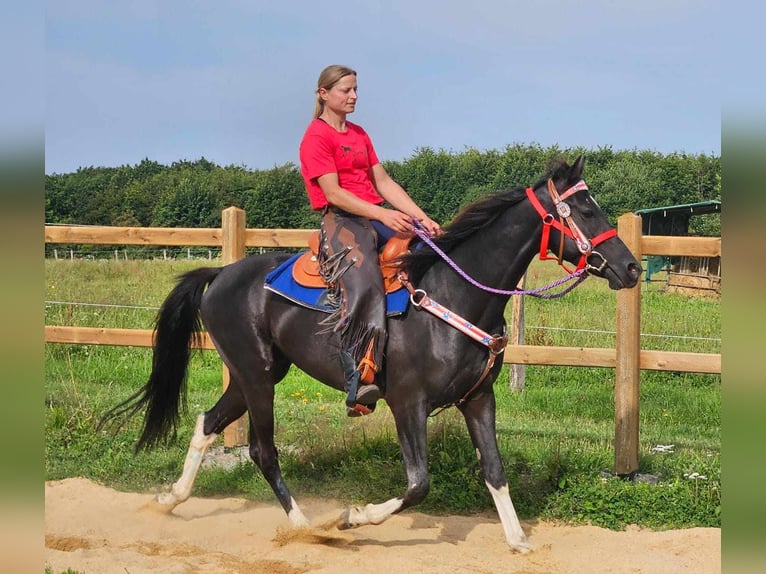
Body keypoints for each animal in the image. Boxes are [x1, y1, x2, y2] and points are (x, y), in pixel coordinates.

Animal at [102, 156, 640, 552]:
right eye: (585, 210)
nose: (632, 268)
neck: (454, 294)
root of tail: (219, 275)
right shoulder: (408, 404)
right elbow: (418, 484)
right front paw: (351, 517)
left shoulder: (478, 399)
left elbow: (495, 471)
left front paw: (517, 540)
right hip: (256, 376)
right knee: (262, 450)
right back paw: (306, 525)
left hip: (255, 374)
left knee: (208, 422)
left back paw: (170, 498)